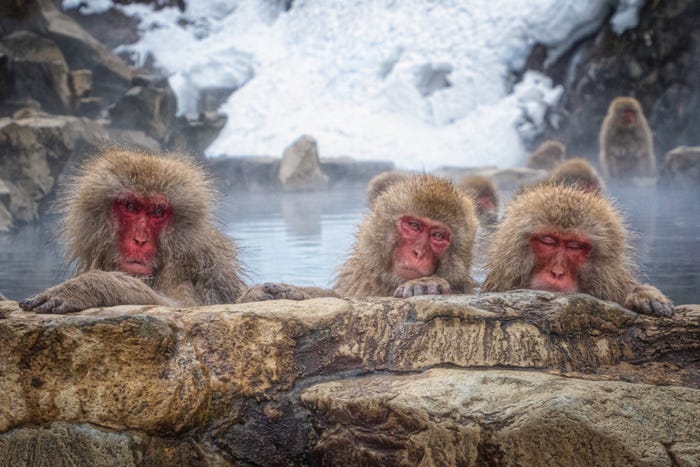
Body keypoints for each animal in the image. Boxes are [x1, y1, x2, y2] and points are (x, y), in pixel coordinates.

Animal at [21, 148, 246, 312]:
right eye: (130, 207)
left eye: (157, 211)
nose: (139, 240)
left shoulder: (186, 269)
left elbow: (183, 306)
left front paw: (88, 287)